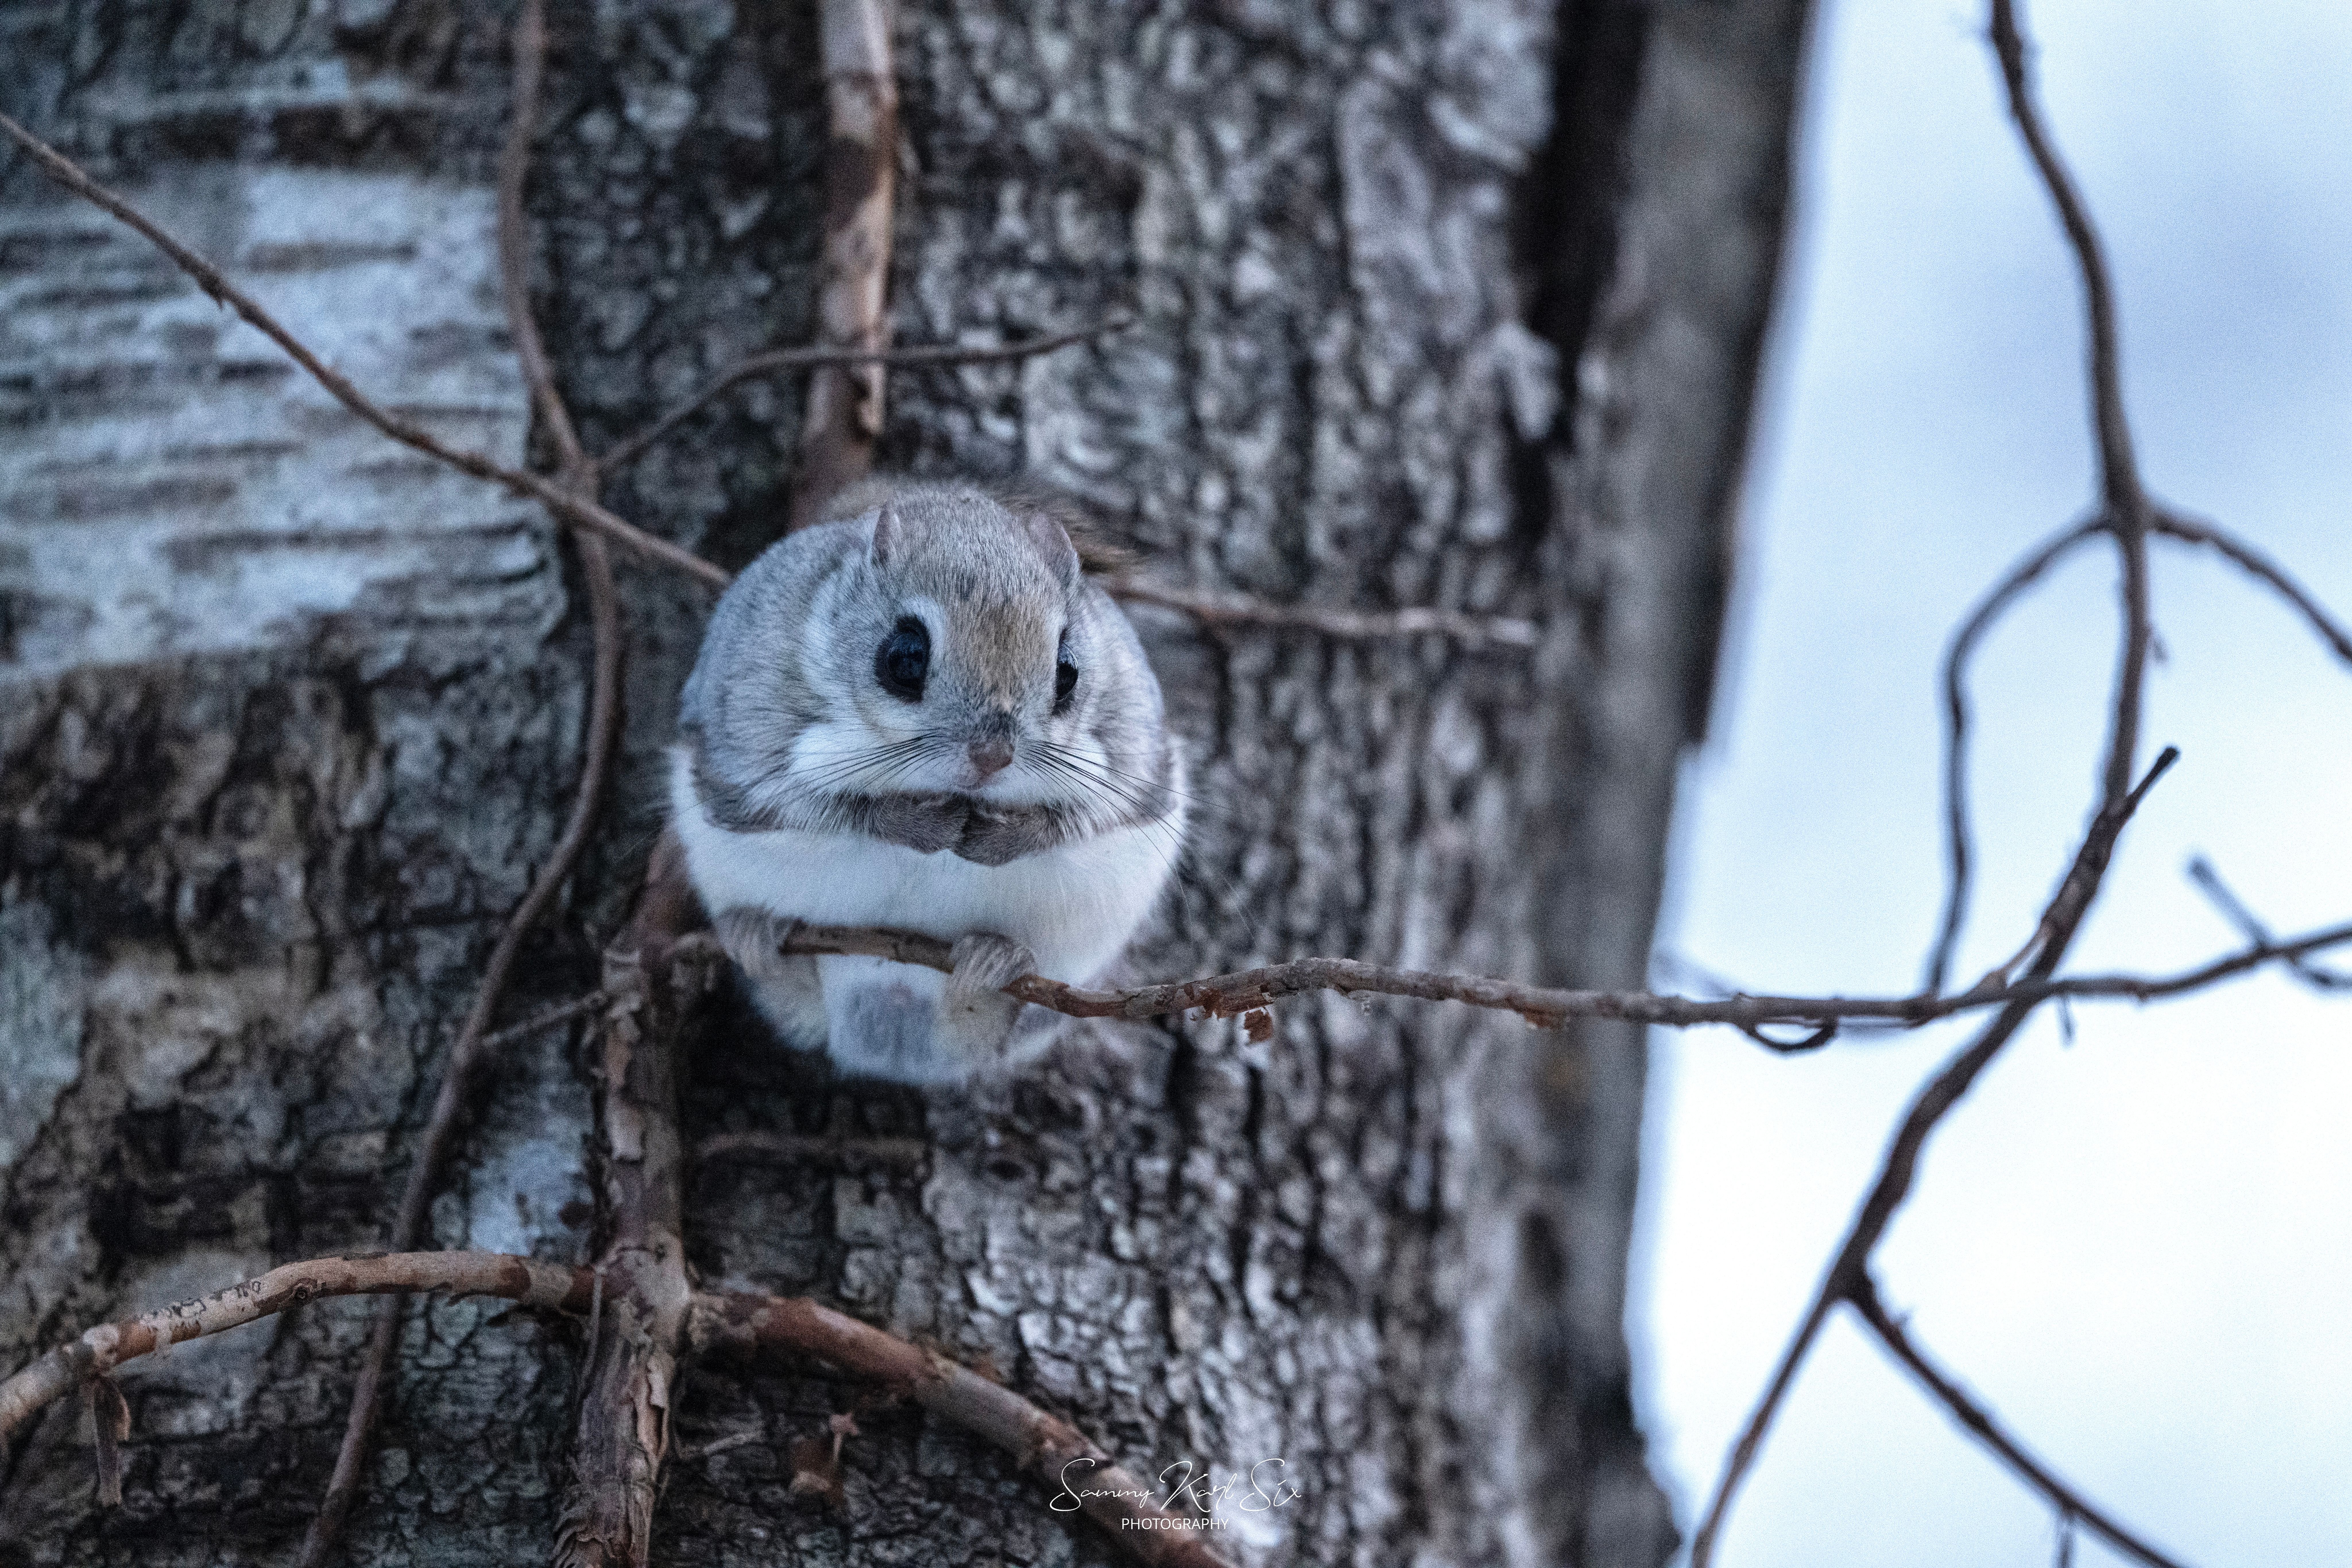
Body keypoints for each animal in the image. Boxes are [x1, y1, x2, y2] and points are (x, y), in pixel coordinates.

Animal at [669, 480, 1187, 1084]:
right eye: (904, 657)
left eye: (1068, 671)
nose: (992, 757)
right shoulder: (751, 740)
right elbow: (817, 807)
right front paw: (913, 823)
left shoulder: (1133, 757)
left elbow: (1084, 820)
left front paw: (1004, 837)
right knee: (791, 996)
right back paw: (755, 939)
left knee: (989, 1027)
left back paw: (992, 966)